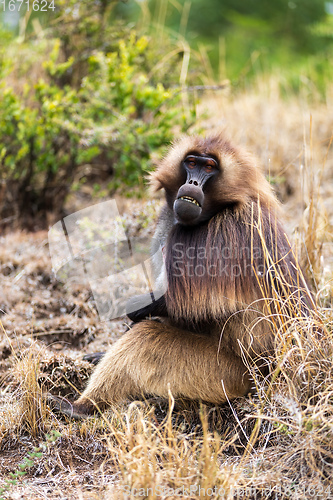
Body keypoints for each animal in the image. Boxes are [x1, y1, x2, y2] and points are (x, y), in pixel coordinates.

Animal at [52, 132, 312, 418]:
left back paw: (78, 407)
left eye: (209, 168)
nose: (193, 182)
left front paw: (132, 308)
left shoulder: (213, 238)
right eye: (191, 162)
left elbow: (183, 304)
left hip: (225, 375)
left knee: (145, 339)